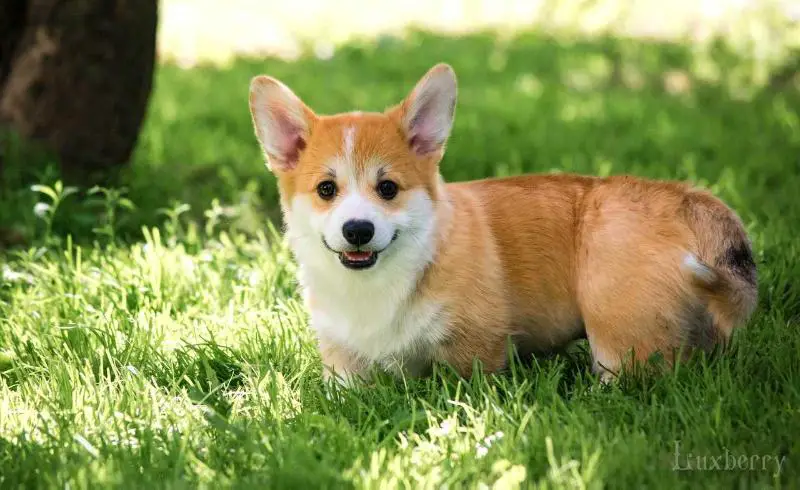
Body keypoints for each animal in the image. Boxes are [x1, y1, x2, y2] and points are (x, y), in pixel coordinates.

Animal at [247, 63, 758, 384]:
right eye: (326, 189)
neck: (379, 285)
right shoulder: (342, 361)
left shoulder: (476, 348)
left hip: (616, 325)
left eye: (387, 188)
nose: (358, 231)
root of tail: (691, 202)